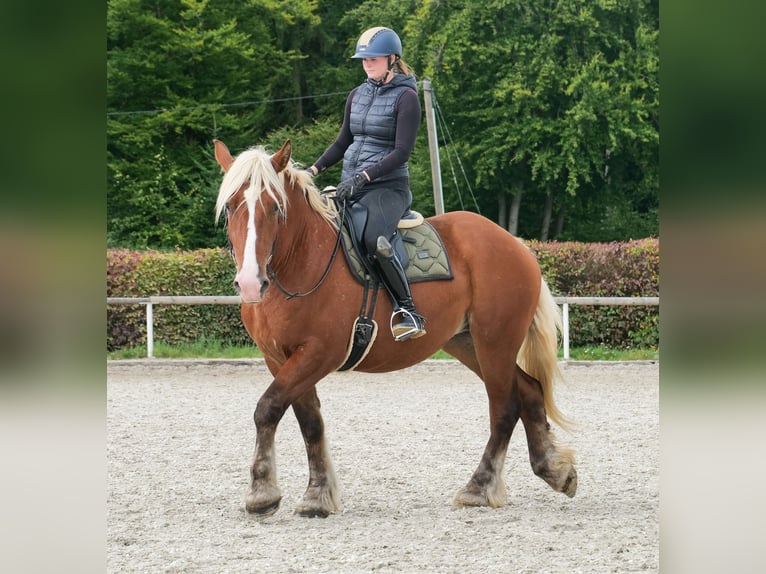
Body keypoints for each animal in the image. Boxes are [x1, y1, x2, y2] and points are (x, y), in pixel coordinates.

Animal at [213, 139, 576, 518]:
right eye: (231, 207)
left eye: (274, 207)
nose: (251, 283)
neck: (303, 260)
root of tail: (514, 244)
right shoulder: (280, 357)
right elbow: (309, 421)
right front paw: (318, 495)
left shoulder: (319, 354)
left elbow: (268, 408)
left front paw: (262, 493)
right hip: (470, 344)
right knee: (530, 390)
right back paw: (555, 470)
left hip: (495, 343)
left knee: (504, 408)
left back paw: (479, 487)